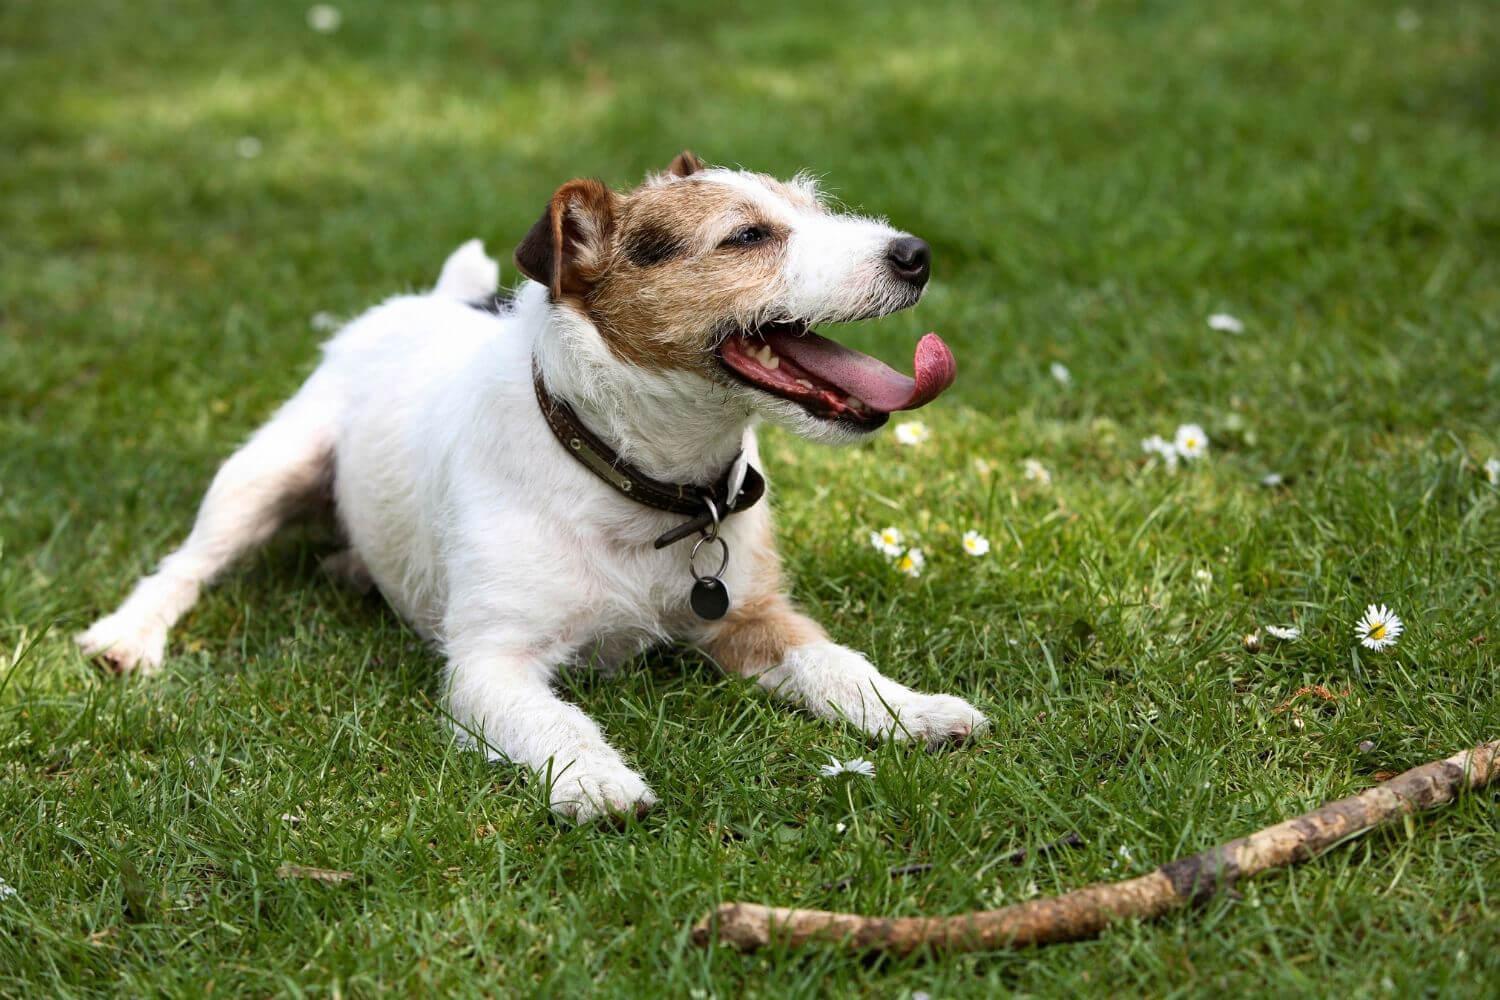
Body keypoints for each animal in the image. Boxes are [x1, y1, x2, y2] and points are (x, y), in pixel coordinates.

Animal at [79, 150, 984, 821]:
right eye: (746, 236)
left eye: (813, 208)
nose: (915, 254)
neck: (639, 485)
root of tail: (432, 301)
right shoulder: (490, 666)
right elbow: (556, 721)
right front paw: (597, 780)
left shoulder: (755, 618)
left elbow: (839, 666)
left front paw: (916, 710)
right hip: (267, 468)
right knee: (187, 565)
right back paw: (129, 635)